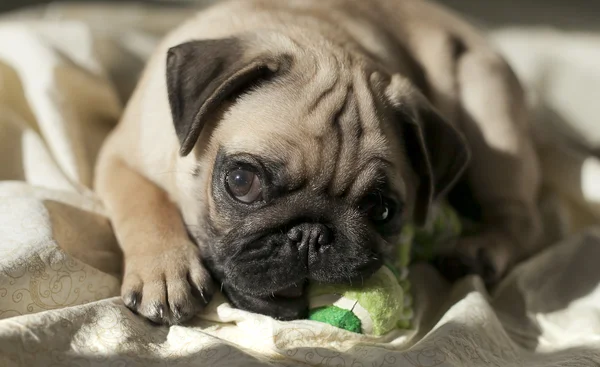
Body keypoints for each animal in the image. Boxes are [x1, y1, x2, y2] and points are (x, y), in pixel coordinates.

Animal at [95, 0, 544, 324]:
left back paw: (479, 250)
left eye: (382, 210)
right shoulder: (117, 155)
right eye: (241, 181)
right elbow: (144, 202)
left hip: (489, 109)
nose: (310, 234)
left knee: (521, 218)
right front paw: (167, 271)